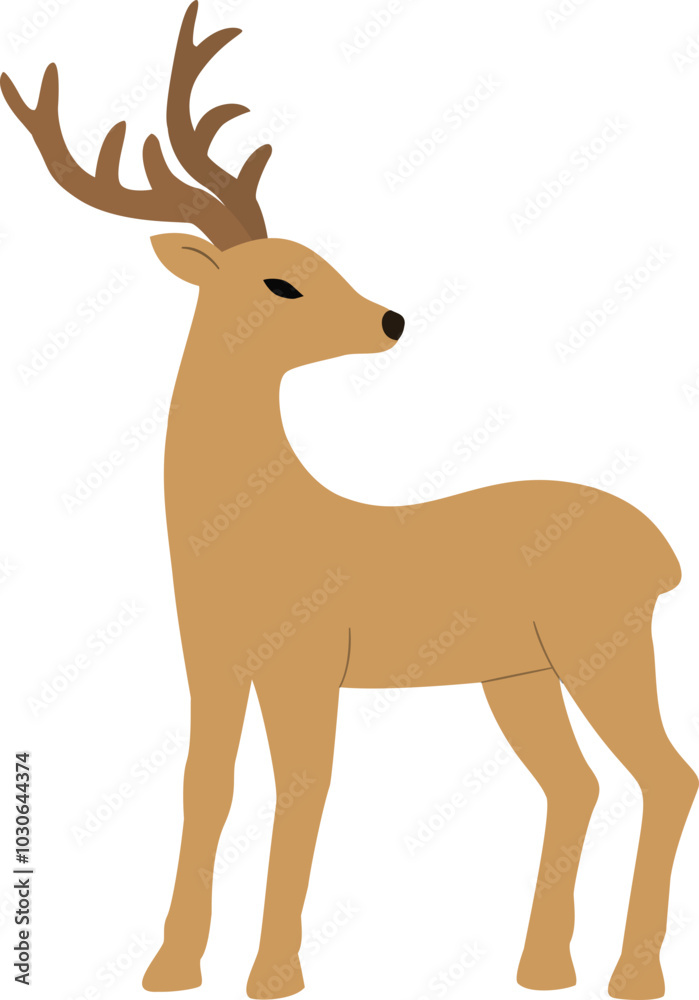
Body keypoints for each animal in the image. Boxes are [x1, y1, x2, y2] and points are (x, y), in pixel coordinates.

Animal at [2, 4, 696, 999]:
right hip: (520, 674)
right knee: (577, 784)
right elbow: (205, 785)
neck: (250, 526)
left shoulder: (306, 662)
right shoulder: (211, 663)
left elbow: (301, 789)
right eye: (279, 278)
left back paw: (629, 975)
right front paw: (169, 966)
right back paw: (541, 968)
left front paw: (272, 972)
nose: (392, 319)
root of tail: (663, 552)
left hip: (601, 643)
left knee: (665, 777)